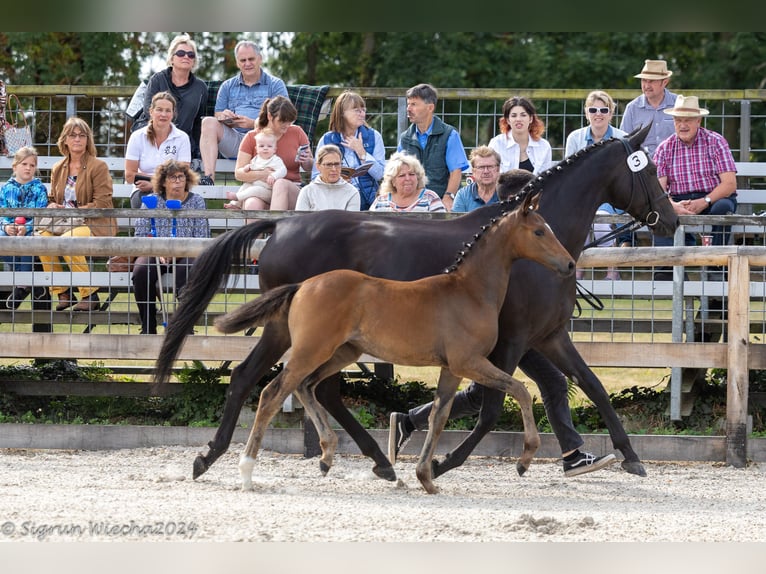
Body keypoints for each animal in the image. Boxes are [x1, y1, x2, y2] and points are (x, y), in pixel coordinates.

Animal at [216, 199, 576, 496]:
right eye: (539, 231)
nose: (570, 264)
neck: (470, 291)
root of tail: (303, 285)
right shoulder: (469, 362)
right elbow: (521, 390)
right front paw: (524, 459)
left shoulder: (451, 369)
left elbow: (438, 416)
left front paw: (426, 477)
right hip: (311, 350)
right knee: (272, 393)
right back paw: (247, 471)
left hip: (342, 352)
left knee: (307, 386)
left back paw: (329, 455)